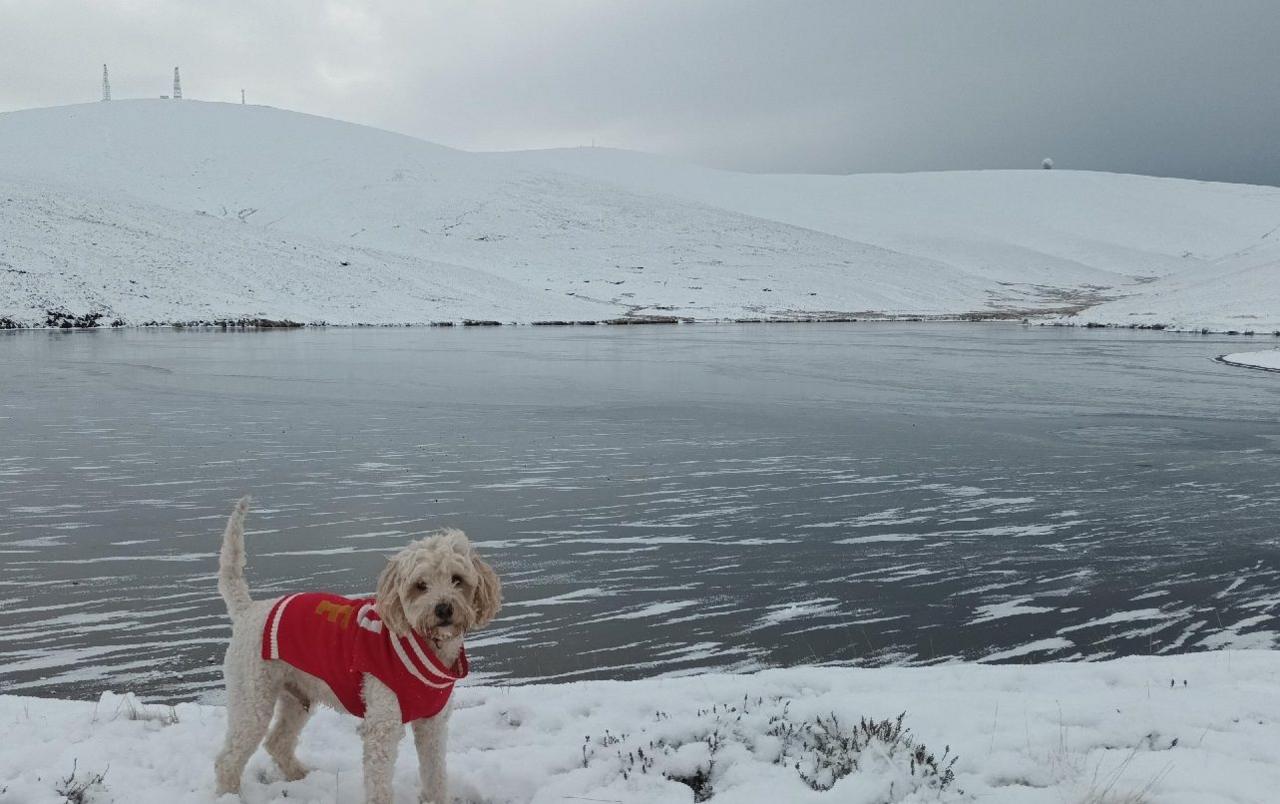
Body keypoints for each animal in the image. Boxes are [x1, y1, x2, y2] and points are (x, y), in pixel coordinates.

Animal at [212, 499, 496, 798]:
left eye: (457, 579)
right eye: (420, 585)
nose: (443, 609)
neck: (426, 645)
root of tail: (247, 609)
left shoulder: (433, 723)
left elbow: (435, 774)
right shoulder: (382, 725)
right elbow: (379, 784)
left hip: (297, 696)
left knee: (277, 741)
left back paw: (299, 774)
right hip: (252, 698)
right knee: (227, 759)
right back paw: (229, 795)